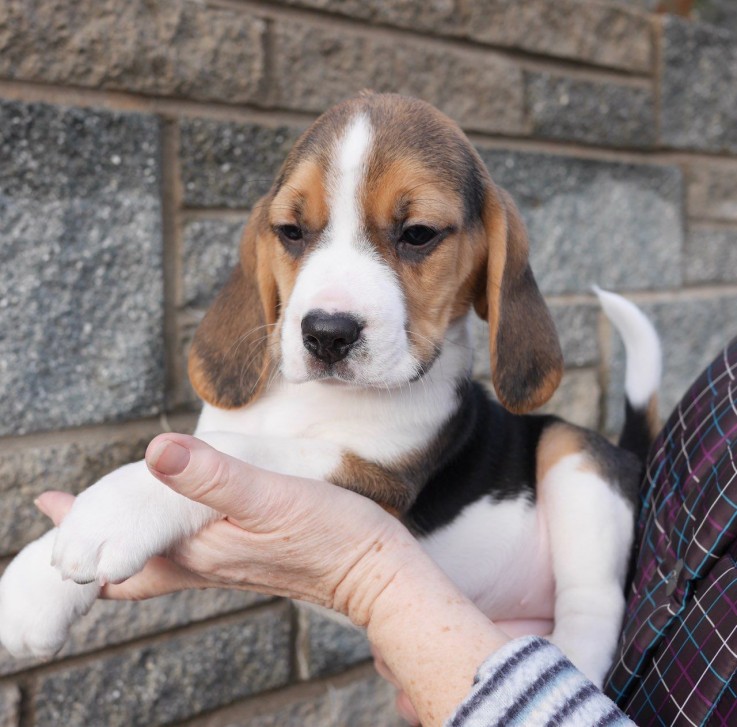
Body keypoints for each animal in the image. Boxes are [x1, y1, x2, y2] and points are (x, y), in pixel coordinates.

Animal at [0, 92, 660, 688]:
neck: (313, 398)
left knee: (595, 608)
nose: (327, 333)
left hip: (574, 455)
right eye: (291, 232)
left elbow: (240, 452)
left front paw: (112, 509)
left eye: (418, 233)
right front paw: (34, 586)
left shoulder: (375, 477)